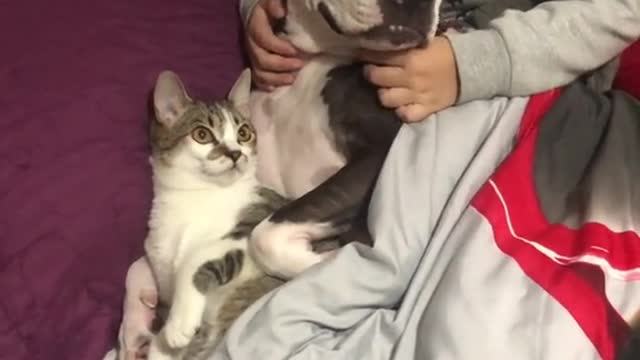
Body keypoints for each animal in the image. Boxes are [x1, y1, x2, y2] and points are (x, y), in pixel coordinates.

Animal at [146, 70, 286, 360]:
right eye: (202, 134)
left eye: (243, 133)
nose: (235, 153)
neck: (197, 196)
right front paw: (164, 341)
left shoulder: (258, 221)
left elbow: (197, 256)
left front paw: (177, 324)